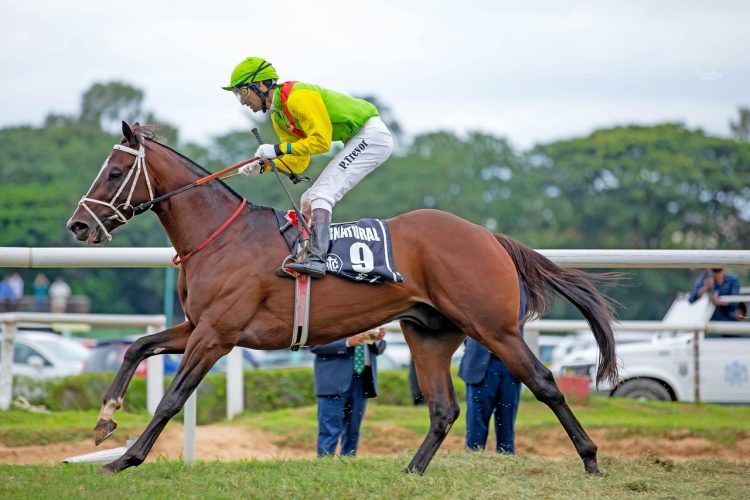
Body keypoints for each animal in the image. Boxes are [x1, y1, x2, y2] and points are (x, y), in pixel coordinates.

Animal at [67, 122, 618, 475]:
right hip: (430, 334)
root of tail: (489, 236)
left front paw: (125, 459)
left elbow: (172, 398)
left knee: (544, 383)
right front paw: (104, 421)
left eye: (114, 173)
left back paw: (591, 459)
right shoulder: (196, 326)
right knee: (443, 409)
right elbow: (138, 347)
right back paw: (411, 471)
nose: (77, 225)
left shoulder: (216, 335)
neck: (220, 236)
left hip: (494, 327)